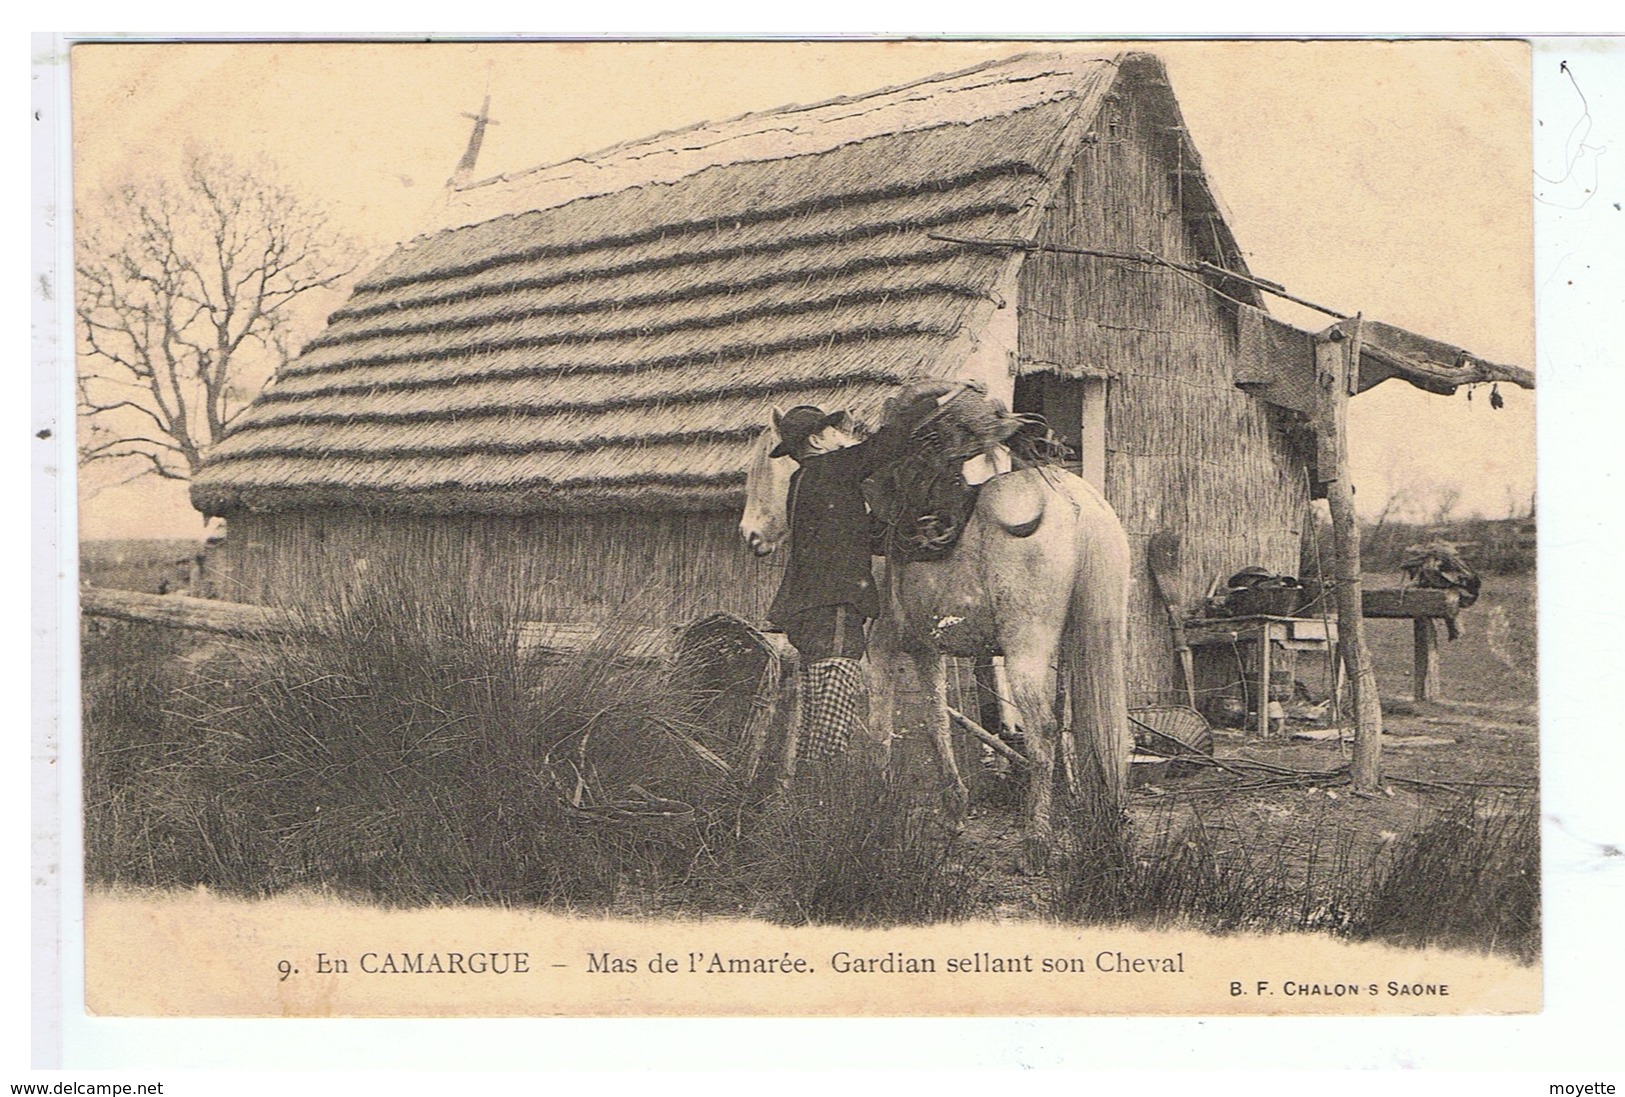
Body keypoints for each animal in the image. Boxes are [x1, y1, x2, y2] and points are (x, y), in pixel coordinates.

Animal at [741, 416, 1131, 871]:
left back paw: (1036, 842)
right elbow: (936, 723)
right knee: (1095, 733)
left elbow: (881, 728)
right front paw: (953, 812)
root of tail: (1074, 501)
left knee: (1044, 733)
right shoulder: (926, 651)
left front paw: (877, 808)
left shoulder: (882, 650)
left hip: (1026, 651)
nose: (750, 535)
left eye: (765, 468)